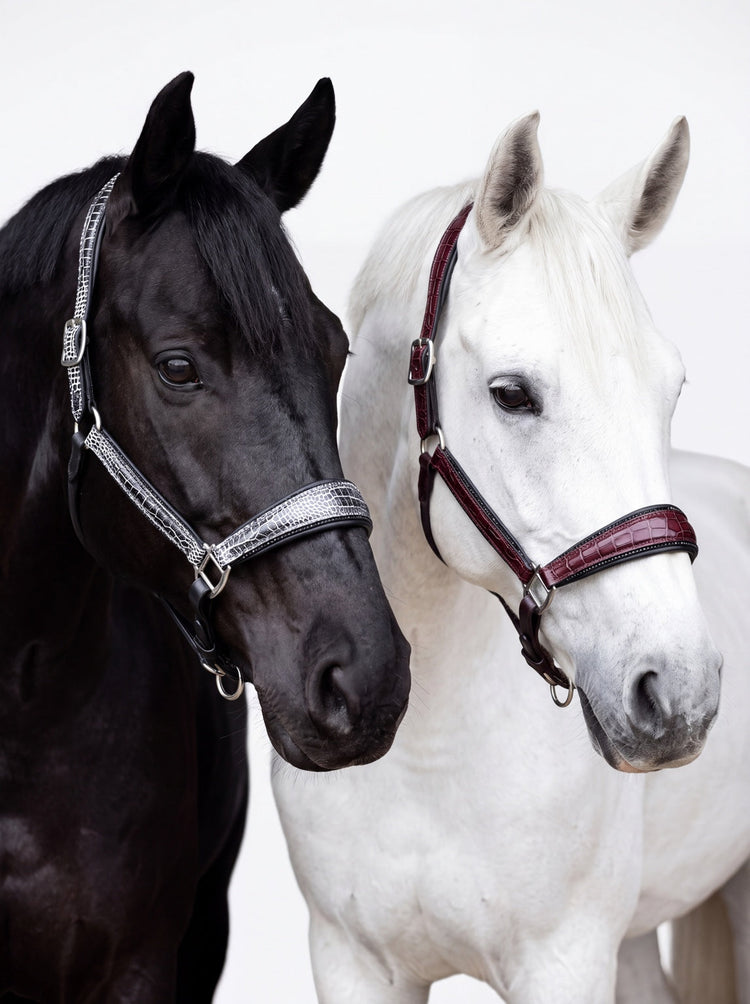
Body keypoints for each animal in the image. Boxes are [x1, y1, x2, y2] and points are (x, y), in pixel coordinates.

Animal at [272, 111, 750, 1002]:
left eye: (671, 389)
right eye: (512, 394)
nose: (680, 694)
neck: (427, 750)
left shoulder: (564, 960)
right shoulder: (350, 960)